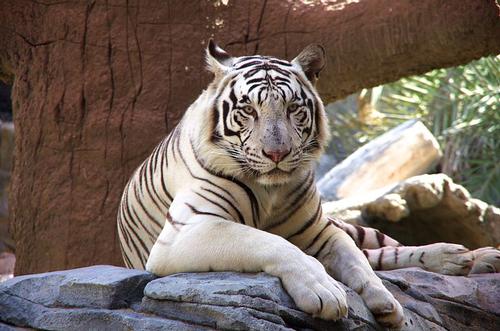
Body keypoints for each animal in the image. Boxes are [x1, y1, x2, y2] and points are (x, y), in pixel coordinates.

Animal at [118, 42, 500, 330]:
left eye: (292, 108)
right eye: (248, 110)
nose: (276, 153)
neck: (270, 189)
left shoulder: (321, 230)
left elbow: (356, 262)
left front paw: (386, 302)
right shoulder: (187, 231)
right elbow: (273, 243)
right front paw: (325, 292)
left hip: (353, 226)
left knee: (384, 250)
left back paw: (468, 256)